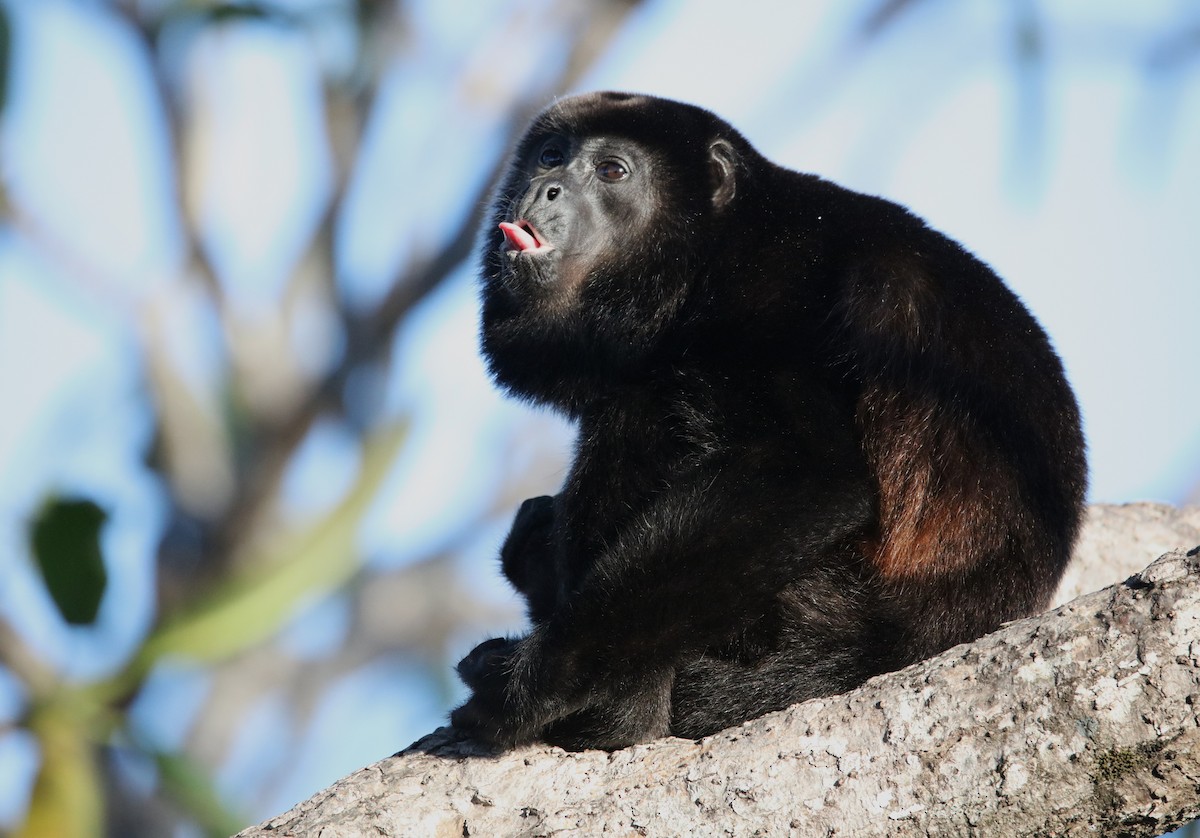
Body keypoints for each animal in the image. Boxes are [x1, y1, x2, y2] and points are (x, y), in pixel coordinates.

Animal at [450, 91, 1087, 751]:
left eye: (612, 171)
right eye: (551, 155)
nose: (544, 188)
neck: (706, 254)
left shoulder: (766, 294)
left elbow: (807, 472)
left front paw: (535, 681)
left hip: (812, 609)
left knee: (642, 408)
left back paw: (621, 715)